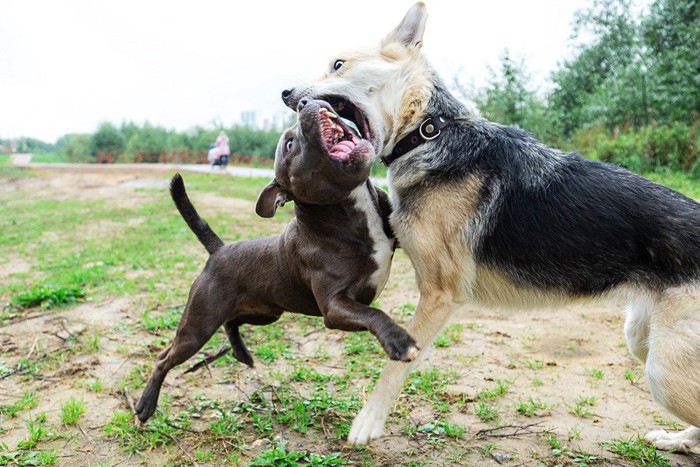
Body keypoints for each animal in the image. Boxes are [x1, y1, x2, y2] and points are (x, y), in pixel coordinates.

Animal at [135, 98, 418, 424]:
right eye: (290, 144)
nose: (305, 102)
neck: (348, 211)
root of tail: (218, 250)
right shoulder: (335, 308)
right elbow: (374, 313)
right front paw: (399, 341)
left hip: (266, 313)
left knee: (232, 321)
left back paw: (242, 353)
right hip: (198, 326)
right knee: (165, 357)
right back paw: (145, 405)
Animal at [282, 1, 700, 452]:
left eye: (338, 65)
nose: (285, 94)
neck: (428, 132)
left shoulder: (439, 295)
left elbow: (395, 365)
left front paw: (369, 420)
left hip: (663, 370)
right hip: (642, 339)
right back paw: (677, 440)